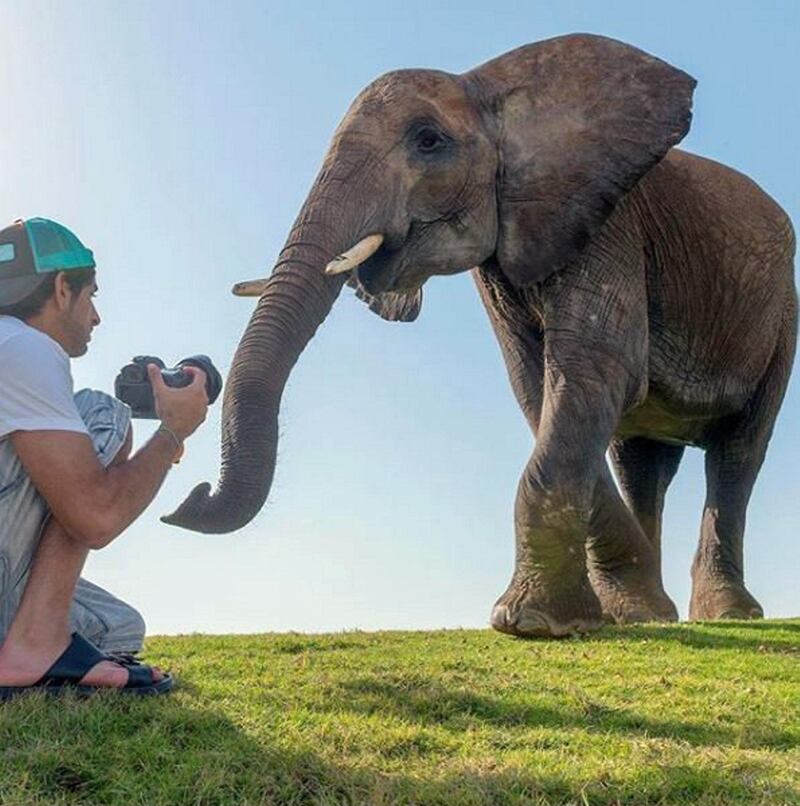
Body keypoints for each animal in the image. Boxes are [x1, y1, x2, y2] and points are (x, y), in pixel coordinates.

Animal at [162, 34, 792, 640]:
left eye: (428, 141)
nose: (187, 497)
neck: (492, 89)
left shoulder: (609, 224)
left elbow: (595, 370)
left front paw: (531, 624)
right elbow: (539, 388)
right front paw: (615, 613)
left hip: (784, 315)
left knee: (737, 454)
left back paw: (728, 614)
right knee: (640, 461)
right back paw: (650, 612)